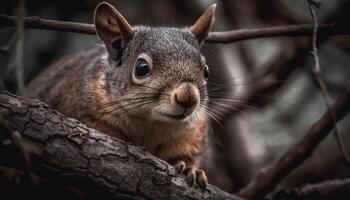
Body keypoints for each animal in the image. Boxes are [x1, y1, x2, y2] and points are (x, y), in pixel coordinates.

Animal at [27, 1, 217, 189]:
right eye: (141, 68)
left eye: (206, 70)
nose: (188, 97)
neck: (150, 124)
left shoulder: (191, 137)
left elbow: (185, 155)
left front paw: (191, 169)